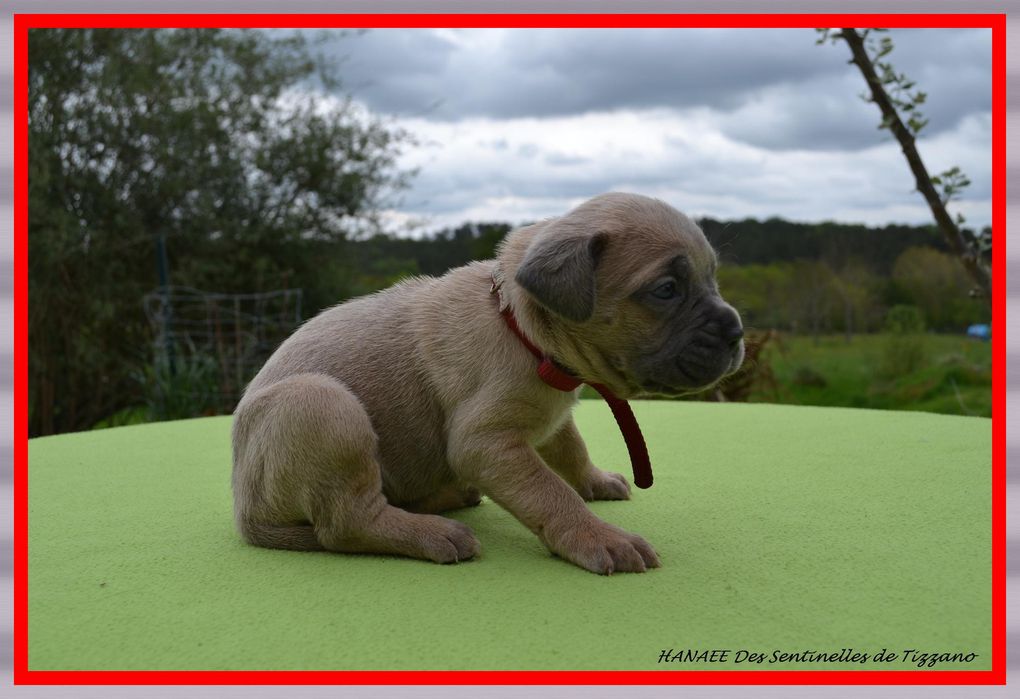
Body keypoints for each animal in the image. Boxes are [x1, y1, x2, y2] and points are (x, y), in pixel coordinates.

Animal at [231, 191, 742, 571]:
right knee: (347, 523)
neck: (522, 329)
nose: (737, 332)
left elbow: (570, 449)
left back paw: (445, 497)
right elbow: (551, 492)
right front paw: (597, 536)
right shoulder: (487, 443)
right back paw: (432, 533)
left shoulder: (552, 419)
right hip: (321, 403)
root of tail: (246, 511)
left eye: (712, 278)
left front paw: (595, 480)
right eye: (666, 290)